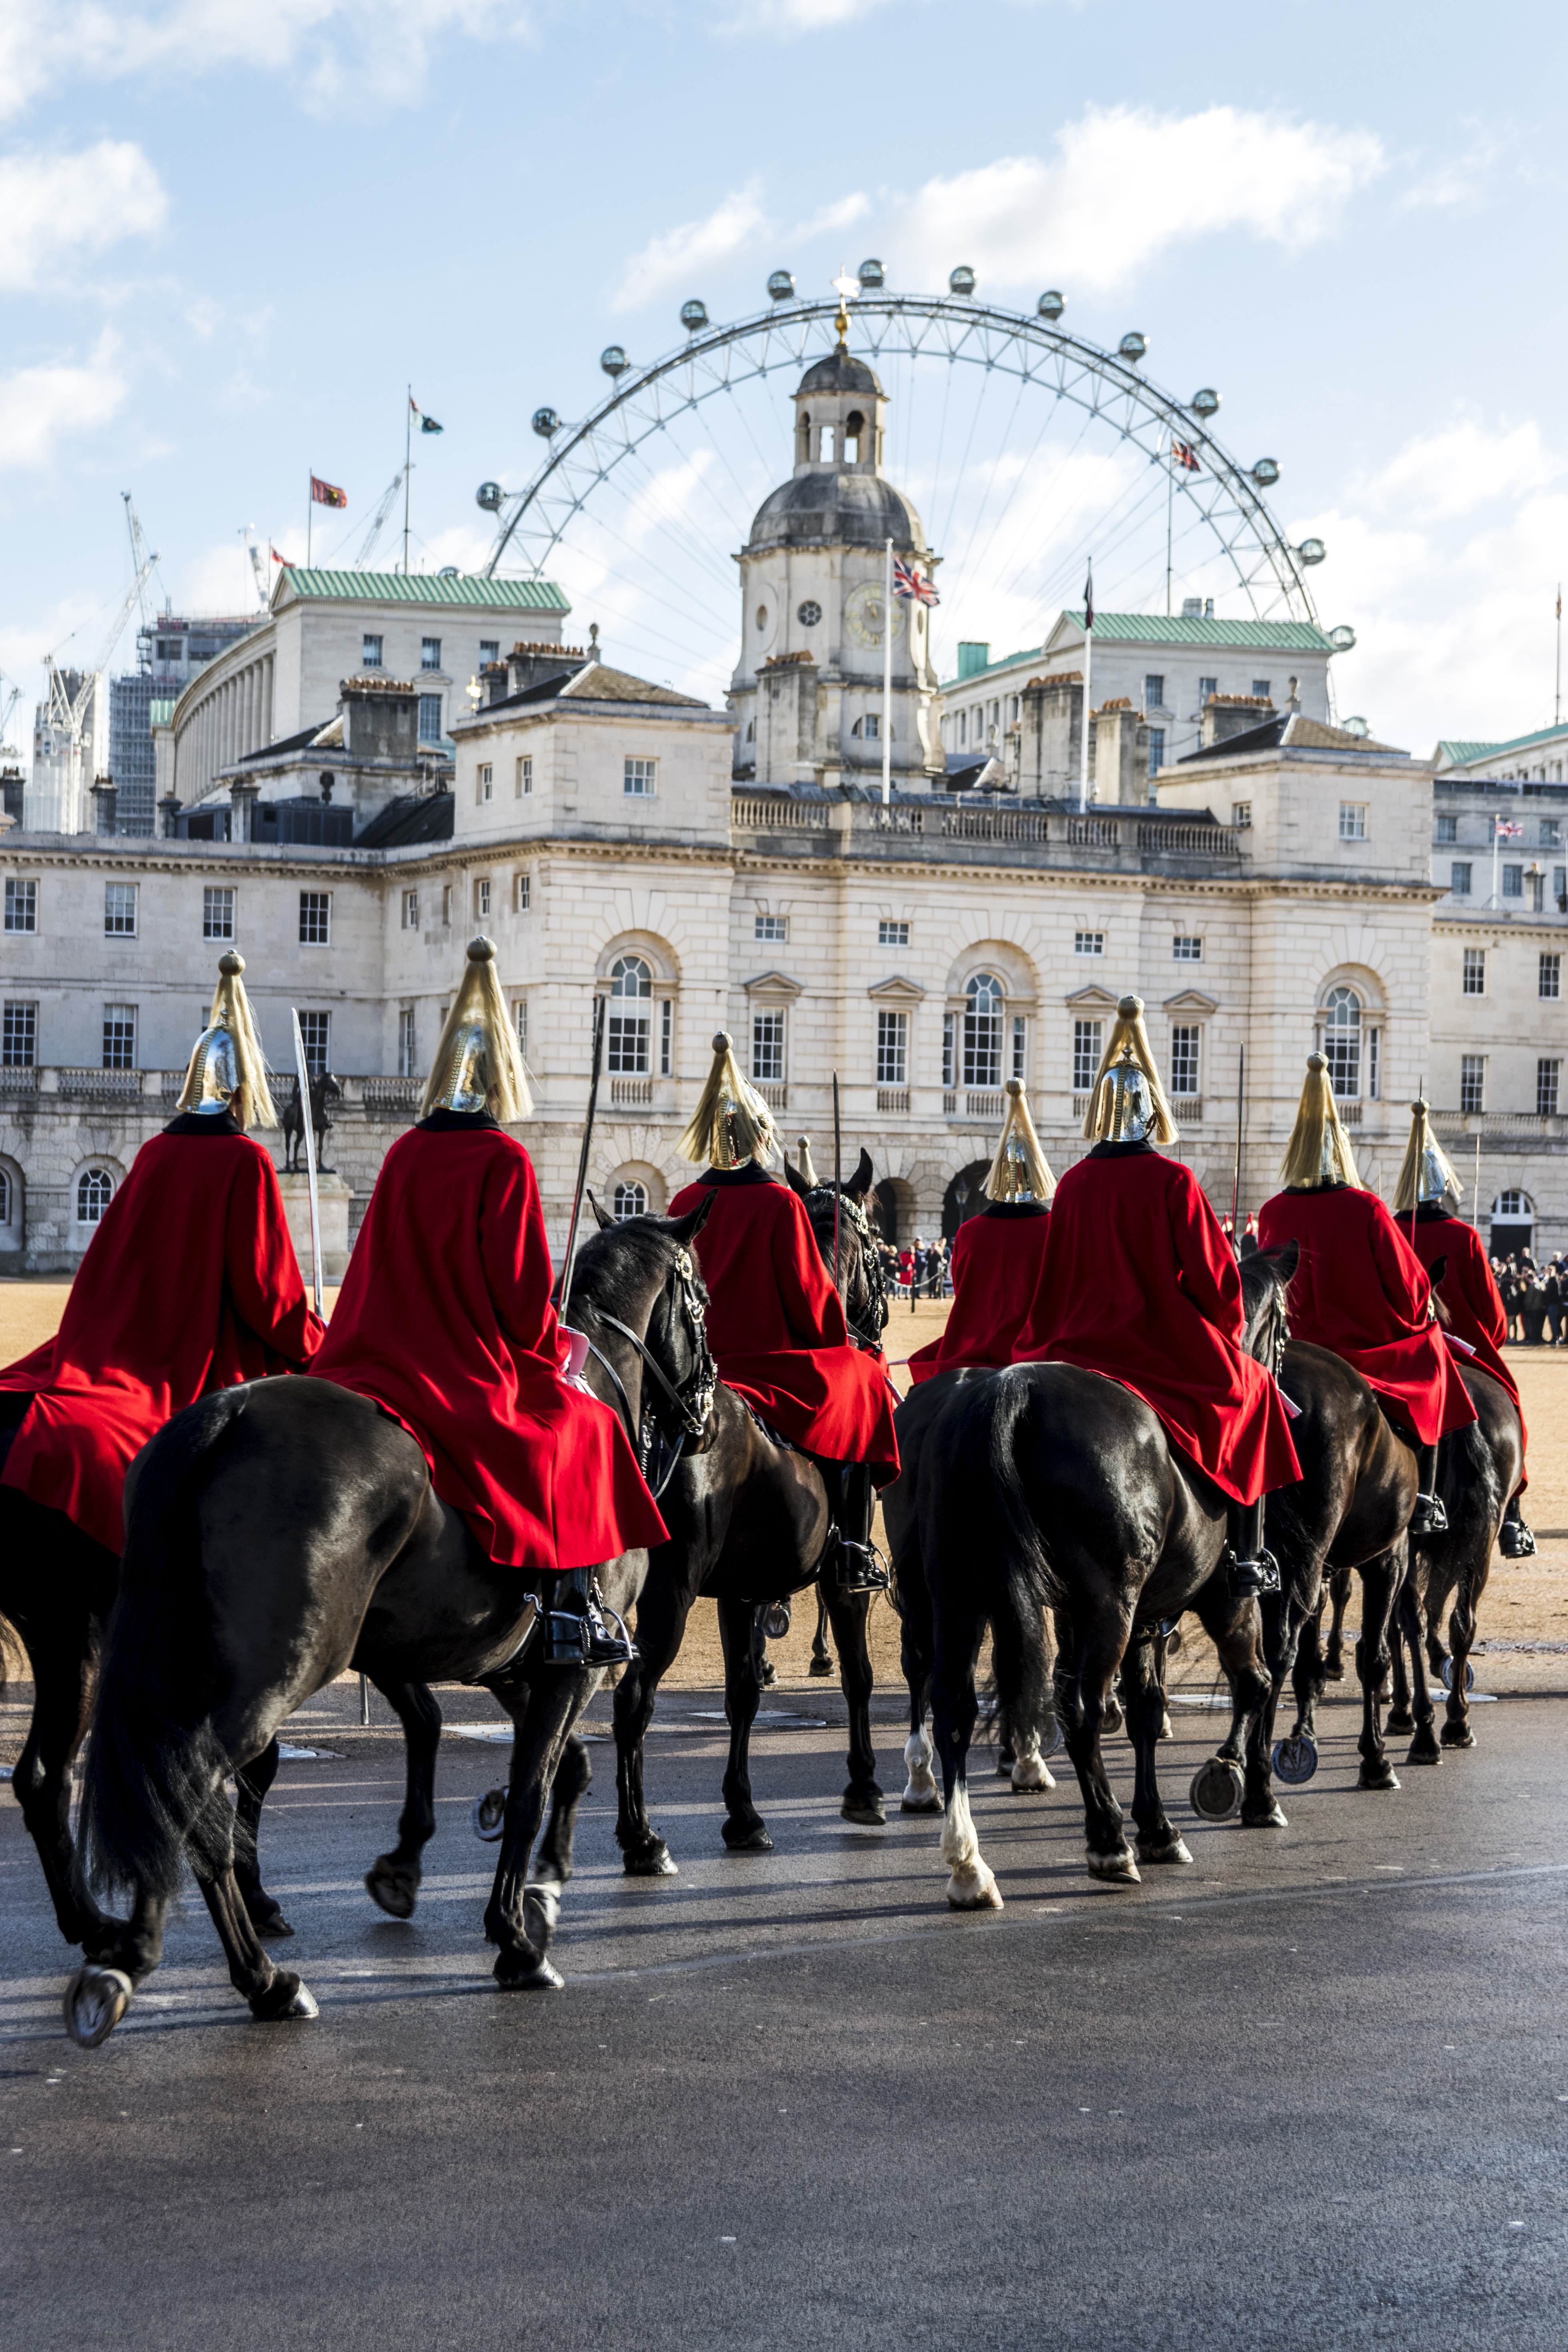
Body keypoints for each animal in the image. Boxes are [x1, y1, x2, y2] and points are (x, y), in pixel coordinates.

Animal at [62, 1205, 715, 2047]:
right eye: (703, 1299)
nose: (705, 1415)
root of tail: (226, 1412)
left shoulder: (505, 1664)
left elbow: (539, 1760)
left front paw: (518, 1883)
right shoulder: (575, 1663)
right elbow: (530, 1785)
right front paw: (515, 1935)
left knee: (182, 1791)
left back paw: (209, 1968)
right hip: (279, 1671)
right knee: (193, 1787)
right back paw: (217, 1968)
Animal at [605, 1147, 894, 1874]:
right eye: (879, 1247)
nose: (875, 1328)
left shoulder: (739, 1591)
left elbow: (741, 1696)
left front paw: (742, 1812)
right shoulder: (842, 1583)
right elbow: (858, 1675)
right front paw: (863, 1785)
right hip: (671, 1591)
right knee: (631, 1695)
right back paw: (639, 1836)